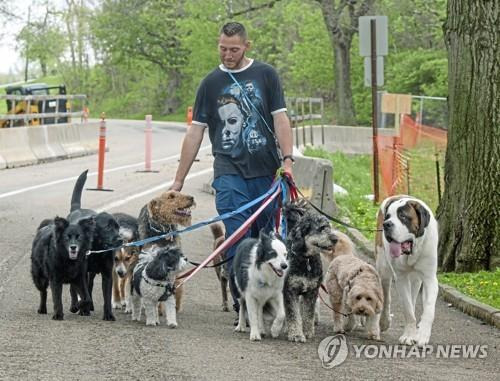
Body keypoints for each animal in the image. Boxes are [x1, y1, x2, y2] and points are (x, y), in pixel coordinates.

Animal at [67, 168, 122, 320]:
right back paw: (75, 305)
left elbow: (107, 297)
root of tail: (76, 209)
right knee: (74, 288)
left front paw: (108, 315)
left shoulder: (108, 274)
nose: (120, 239)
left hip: (91, 272)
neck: (98, 250)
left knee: (90, 284)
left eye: (118, 227)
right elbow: (84, 294)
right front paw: (82, 308)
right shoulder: (82, 272)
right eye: (108, 227)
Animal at [284, 202, 338, 342]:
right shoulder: (290, 290)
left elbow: (308, 313)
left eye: (329, 227)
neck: (306, 259)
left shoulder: (311, 291)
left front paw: (308, 332)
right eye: (321, 228)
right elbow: (293, 314)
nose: (335, 239)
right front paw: (296, 334)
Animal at [376, 194, 438, 346]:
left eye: (403, 217)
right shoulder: (401, 278)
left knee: (414, 294)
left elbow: (429, 308)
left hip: (416, 279)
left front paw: (422, 335)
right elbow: (408, 309)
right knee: (386, 296)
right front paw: (409, 335)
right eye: (388, 216)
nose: (387, 224)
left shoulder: (430, 278)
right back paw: (384, 321)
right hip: (383, 267)